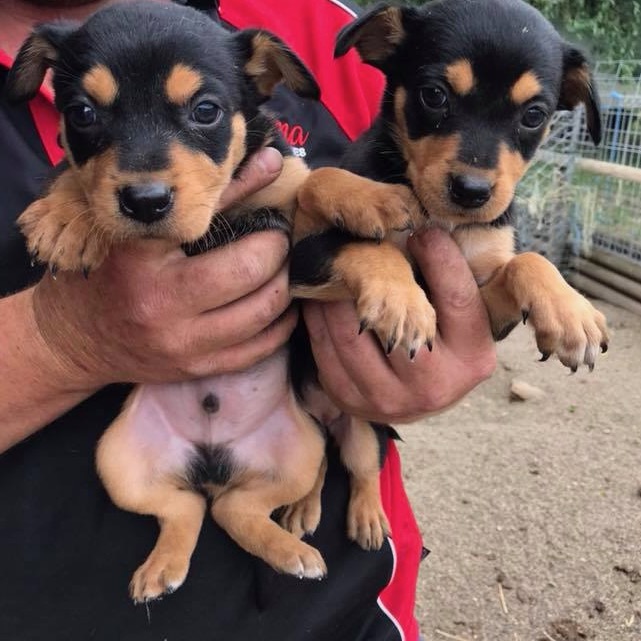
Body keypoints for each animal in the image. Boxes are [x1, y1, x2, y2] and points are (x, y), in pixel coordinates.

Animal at [5, 1, 338, 600]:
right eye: (82, 113)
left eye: (206, 111)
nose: (145, 201)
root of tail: (210, 462)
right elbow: (76, 173)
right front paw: (66, 217)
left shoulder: (286, 180)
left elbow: (322, 181)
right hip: (118, 462)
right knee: (193, 510)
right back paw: (164, 571)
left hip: (301, 453)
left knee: (234, 508)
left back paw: (291, 551)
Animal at [292, 0, 608, 370]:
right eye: (433, 95)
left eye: (534, 116)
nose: (471, 191)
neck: (442, 220)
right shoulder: (300, 263)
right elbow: (357, 238)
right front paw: (402, 299)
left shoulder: (484, 312)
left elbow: (527, 260)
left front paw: (571, 314)